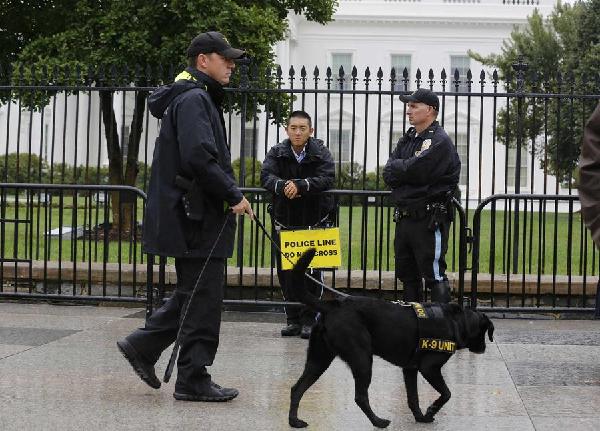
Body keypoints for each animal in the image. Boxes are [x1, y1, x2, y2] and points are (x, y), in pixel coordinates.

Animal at [117, 32, 253, 404]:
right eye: (226, 57)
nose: (235, 65)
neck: (193, 84)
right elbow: (201, 154)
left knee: (181, 295)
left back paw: (137, 354)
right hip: (204, 256)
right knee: (199, 299)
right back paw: (196, 385)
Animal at [290, 250, 492, 428]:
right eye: (484, 332)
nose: (483, 349)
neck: (456, 321)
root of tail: (332, 306)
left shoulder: (410, 369)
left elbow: (413, 398)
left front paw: (420, 417)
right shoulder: (429, 368)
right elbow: (447, 393)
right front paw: (432, 410)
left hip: (319, 359)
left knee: (297, 388)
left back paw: (294, 422)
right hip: (362, 359)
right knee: (360, 397)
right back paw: (378, 421)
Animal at [384, 88, 460, 304]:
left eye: (414, 105)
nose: (408, 111)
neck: (420, 134)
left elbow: (407, 165)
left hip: (429, 242)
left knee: (436, 279)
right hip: (404, 245)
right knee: (410, 277)